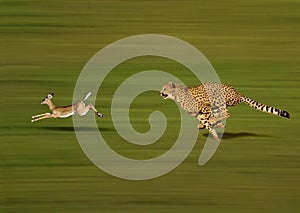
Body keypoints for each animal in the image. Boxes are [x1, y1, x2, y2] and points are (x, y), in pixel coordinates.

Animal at [159, 81, 290, 140]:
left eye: (164, 89)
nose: (159, 93)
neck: (177, 95)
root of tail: (237, 92)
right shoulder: (199, 113)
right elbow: (205, 121)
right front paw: (211, 130)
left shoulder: (205, 108)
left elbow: (208, 121)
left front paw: (214, 132)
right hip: (217, 105)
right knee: (222, 114)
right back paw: (217, 124)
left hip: (218, 101)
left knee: (226, 113)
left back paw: (216, 122)